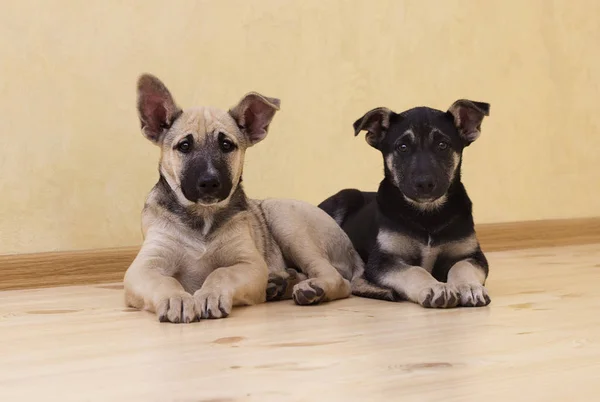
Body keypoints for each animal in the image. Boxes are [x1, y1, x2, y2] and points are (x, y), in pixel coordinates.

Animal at [123, 74, 360, 322]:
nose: (209, 182)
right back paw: (279, 284)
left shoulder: (248, 263)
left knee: (338, 280)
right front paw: (175, 299)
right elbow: (165, 281)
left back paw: (309, 288)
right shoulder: (145, 267)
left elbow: (221, 273)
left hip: (286, 220)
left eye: (226, 145)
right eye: (184, 146)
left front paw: (210, 294)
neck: (203, 216)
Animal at [318, 99, 492, 308]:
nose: (424, 183)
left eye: (442, 145)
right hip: (345, 198)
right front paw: (436, 287)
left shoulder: (473, 255)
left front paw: (470, 287)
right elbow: (415, 271)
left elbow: (461, 266)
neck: (427, 215)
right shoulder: (384, 260)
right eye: (402, 147)